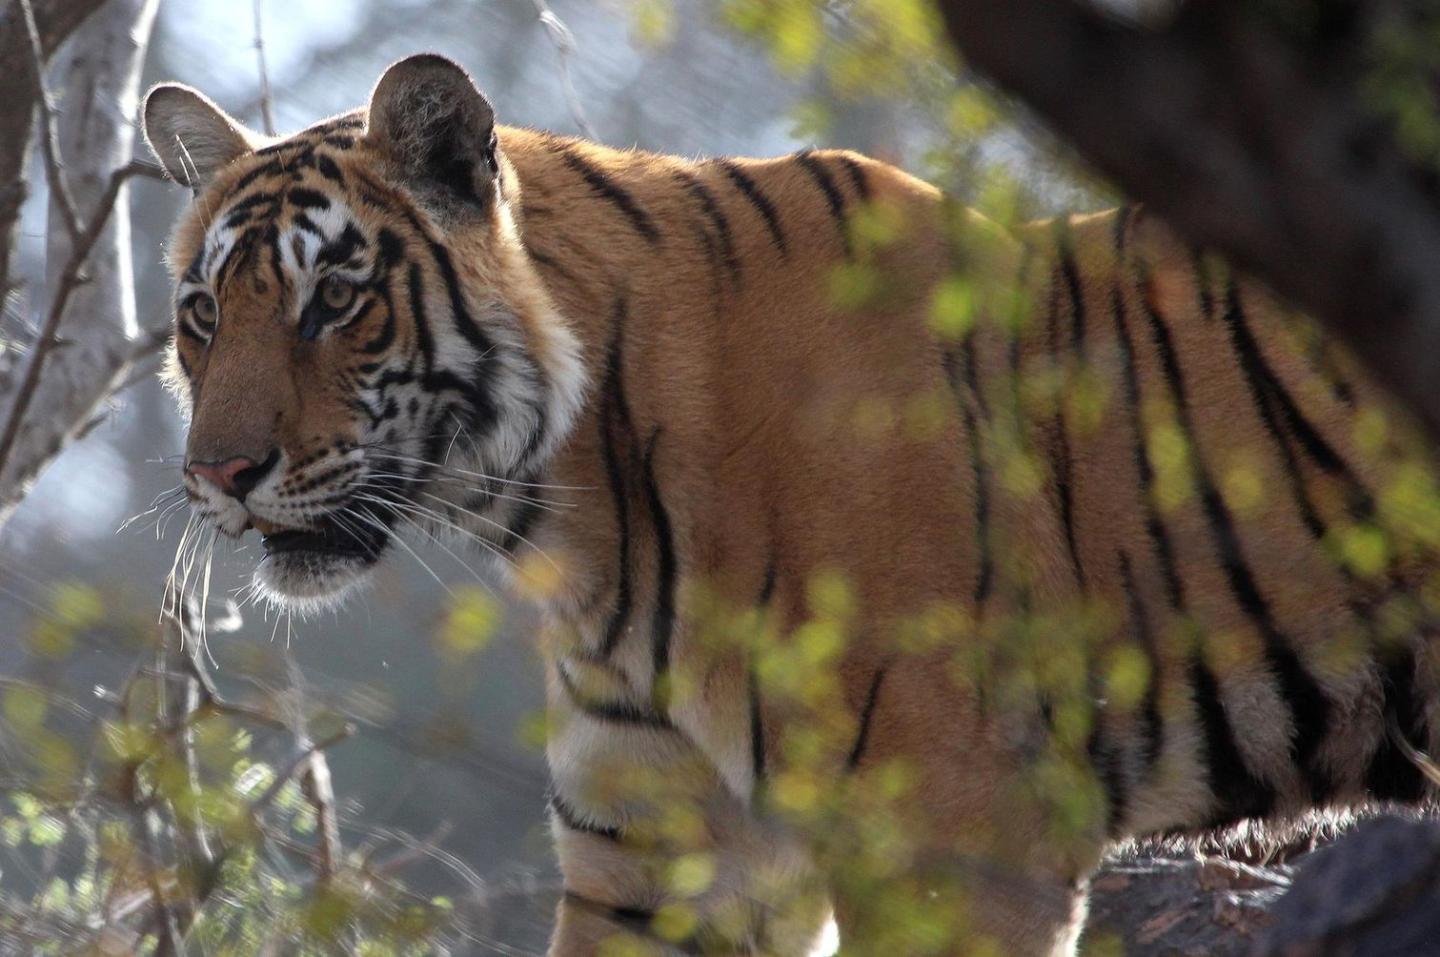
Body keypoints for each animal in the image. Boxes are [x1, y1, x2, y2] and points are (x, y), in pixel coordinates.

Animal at [141, 53, 1440, 956]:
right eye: (203, 314)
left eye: (334, 300)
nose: (217, 476)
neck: (571, 514)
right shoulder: (659, 856)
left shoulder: (959, 836)